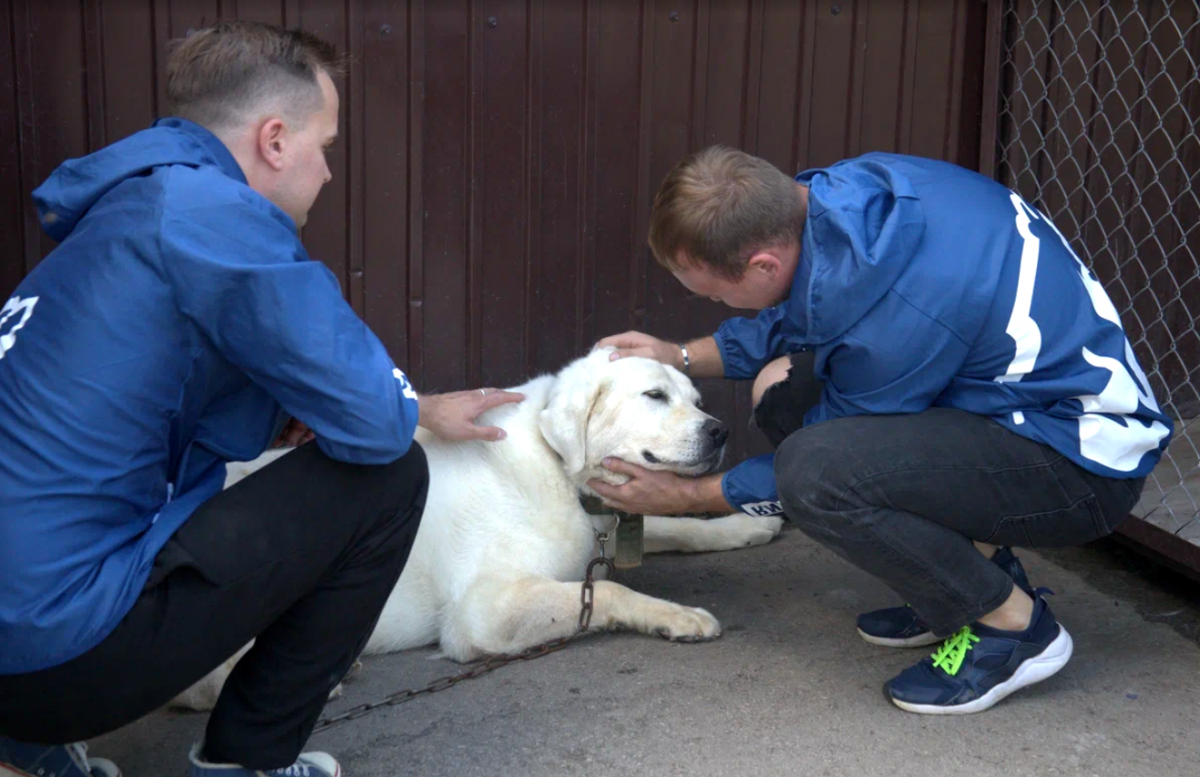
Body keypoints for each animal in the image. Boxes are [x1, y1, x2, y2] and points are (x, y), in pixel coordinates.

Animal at [171, 350, 787, 714]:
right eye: (654, 397)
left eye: (696, 401)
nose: (721, 431)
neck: (557, 465)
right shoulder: (484, 610)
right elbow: (610, 587)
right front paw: (676, 616)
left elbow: (674, 525)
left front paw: (744, 525)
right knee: (194, 686)